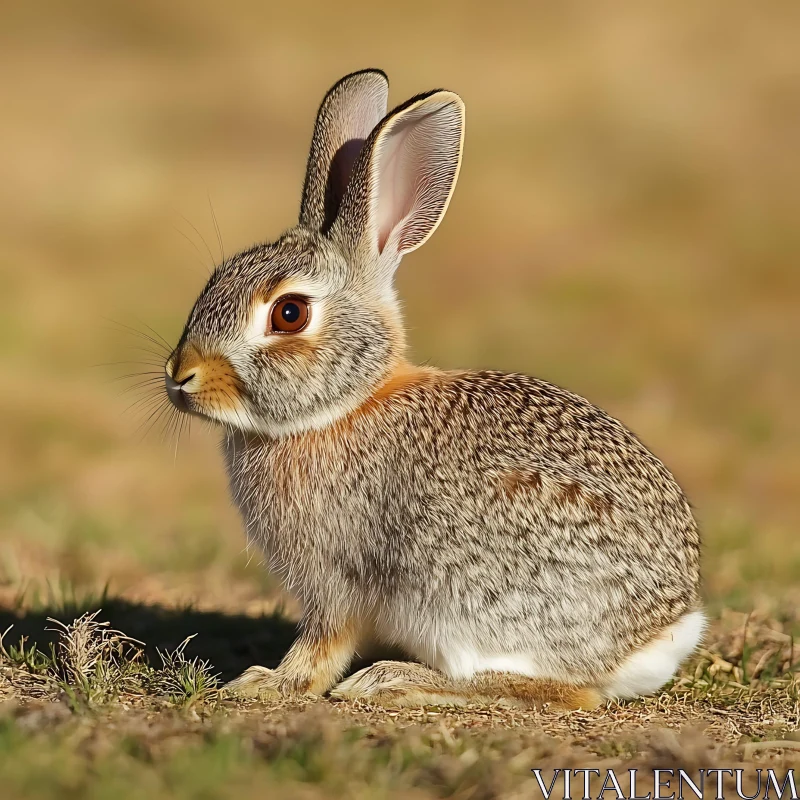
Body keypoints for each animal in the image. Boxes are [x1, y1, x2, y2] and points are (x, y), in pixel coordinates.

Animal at [166, 67, 704, 708]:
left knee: (563, 690)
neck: (343, 406)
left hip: (466, 597)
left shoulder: (335, 582)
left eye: (289, 314)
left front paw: (266, 682)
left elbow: (321, 645)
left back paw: (392, 679)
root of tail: (661, 632)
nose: (180, 376)